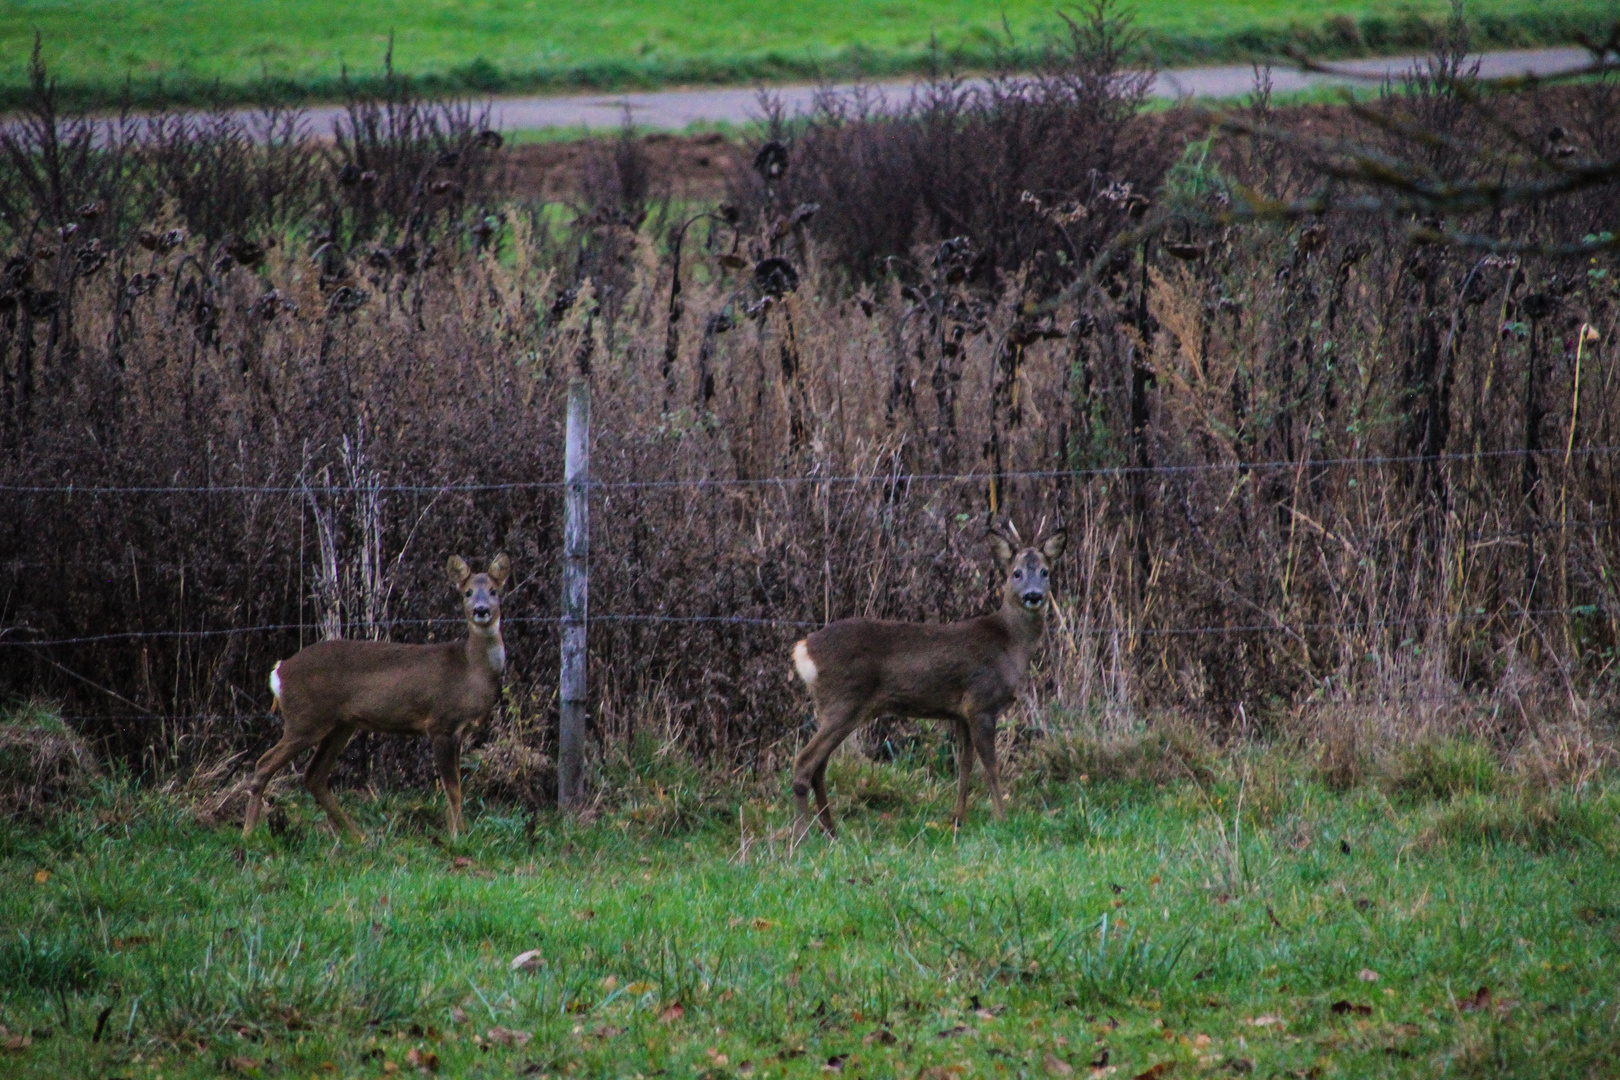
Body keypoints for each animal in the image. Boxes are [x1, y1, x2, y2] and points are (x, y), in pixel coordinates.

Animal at [236, 557, 505, 841]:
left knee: (313, 775)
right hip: (305, 720)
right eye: (467, 592)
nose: (481, 610)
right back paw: (248, 833)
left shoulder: (459, 731)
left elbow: (457, 786)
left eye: (494, 591)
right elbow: (452, 788)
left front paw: (462, 832)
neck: (470, 670)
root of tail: (279, 670)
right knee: (264, 764)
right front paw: (457, 837)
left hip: (340, 725)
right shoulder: (441, 724)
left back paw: (357, 836)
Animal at [793, 527, 1069, 841]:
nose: (1034, 596)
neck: (1009, 645)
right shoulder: (981, 702)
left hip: (834, 706)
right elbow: (990, 766)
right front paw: (1002, 818)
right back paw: (802, 835)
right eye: (1017, 573)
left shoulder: (961, 713)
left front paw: (958, 818)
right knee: (804, 762)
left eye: (1045, 572)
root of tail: (804, 649)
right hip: (844, 701)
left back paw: (831, 829)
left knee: (819, 765)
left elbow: (965, 764)